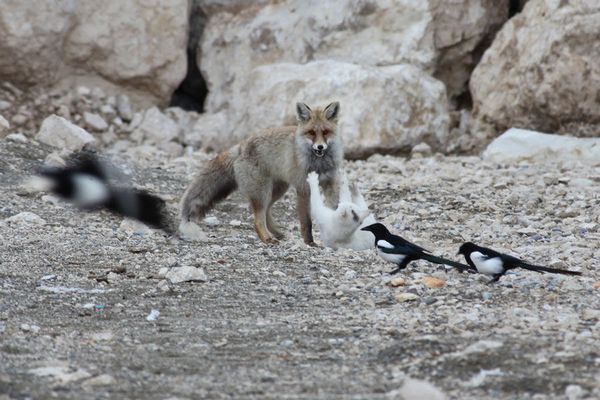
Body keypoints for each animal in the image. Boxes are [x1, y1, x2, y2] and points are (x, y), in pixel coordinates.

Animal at [179, 101, 342, 245]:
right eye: (311, 133)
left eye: (326, 132)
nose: (320, 147)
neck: (319, 164)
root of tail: (242, 145)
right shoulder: (304, 188)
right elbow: (307, 222)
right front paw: (310, 242)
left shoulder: (330, 184)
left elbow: (336, 210)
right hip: (262, 192)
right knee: (258, 220)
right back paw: (268, 239)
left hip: (276, 190)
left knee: (267, 212)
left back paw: (277, 233)